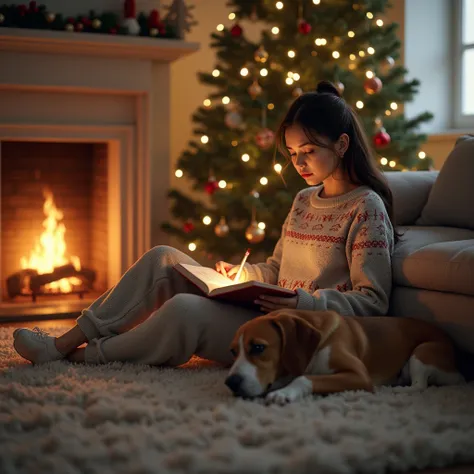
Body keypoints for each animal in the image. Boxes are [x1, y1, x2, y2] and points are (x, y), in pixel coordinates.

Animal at [224, 310, 464, 406]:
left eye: (258, 347)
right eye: (233, 352)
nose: (230, 382)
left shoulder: (358, 375)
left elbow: (304, 378)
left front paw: (283, 393)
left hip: (423, 351)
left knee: (420, 385)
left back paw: (397, 390)